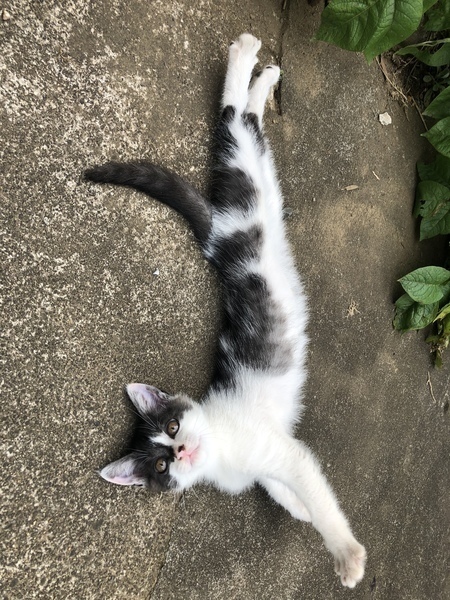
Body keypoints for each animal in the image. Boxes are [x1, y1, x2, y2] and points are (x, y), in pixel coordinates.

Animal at [84, 33, 366, 588]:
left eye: (172, 430)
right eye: (161, 467)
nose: (181, 451)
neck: (219, 444)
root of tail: (216, 231)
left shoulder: (277, 447)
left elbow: (318, 494)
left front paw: (345, 554)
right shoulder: (273, 452)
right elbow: (288, 484)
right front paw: (299, 508)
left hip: (241, 179)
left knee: (232, 120)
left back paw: (247, 57)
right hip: (256, 173)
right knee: (250, 124)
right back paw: (265, 78)